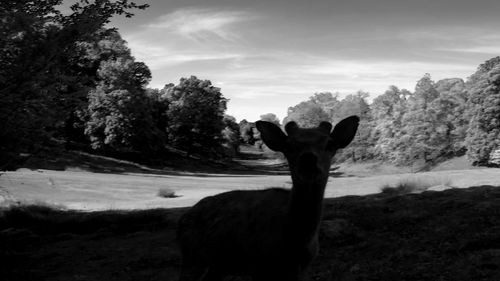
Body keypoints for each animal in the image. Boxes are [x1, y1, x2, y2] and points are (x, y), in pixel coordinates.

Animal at [176, 115, 360, 278]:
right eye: (288, 145)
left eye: (330, 144)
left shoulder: (301, 268)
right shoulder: (258, 267)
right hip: (191, 257)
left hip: (219, 264)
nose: (308, 160)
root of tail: (184, 217)